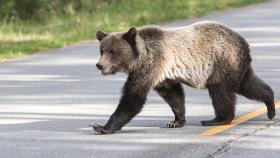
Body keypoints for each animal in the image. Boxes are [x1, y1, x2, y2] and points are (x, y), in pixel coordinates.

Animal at [90, 20, 276, 135]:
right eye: (101, 50)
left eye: (112, 51)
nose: (99, 65)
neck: (139, 58)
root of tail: (243, 42)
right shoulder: (162, 75)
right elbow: (173, 95)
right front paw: (176, 121)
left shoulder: (152, 65)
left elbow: (133, 97)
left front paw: (101, 127)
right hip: (236, 65)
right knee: (249, 84)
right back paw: (271, 107)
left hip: (221, 61)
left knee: (220, 92)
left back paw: (217, 120)